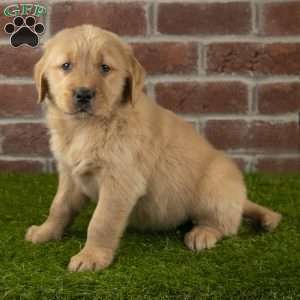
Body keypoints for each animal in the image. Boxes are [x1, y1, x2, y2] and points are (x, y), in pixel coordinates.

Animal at [25, 25, 282, 272]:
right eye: (66, 66)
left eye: (105, 68)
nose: (84, 94)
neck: (85, 127)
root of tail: (240, 198)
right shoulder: (70, 174)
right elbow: (60, 206)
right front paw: (45, 232)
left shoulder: (120, 181)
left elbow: (101, 221)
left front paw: (91, 257)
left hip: (215, 184)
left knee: (226, 224)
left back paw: (203, 233)